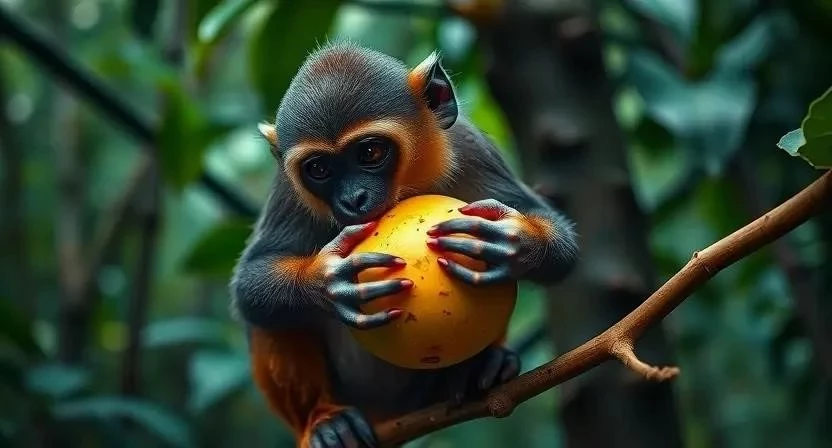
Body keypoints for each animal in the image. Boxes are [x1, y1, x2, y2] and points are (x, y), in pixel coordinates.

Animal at [229, 41, 579, 448]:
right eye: (319, 169)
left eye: (370, 153)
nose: (354, 199)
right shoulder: (288, 188)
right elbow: (250, 284)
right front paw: (326, 282)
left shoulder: (471, 148)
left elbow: (560, 247)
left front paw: (517, 243)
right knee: (270, 318)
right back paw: (326, 419)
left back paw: (482, 368)